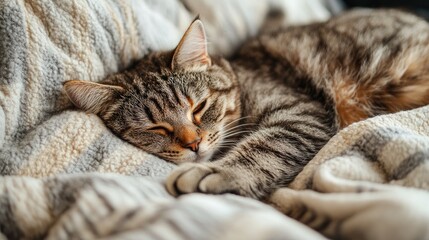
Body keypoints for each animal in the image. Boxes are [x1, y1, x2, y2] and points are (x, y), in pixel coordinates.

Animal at [62, 9, 428, 200]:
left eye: (199, 107)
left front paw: (215, 172)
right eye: (156, 128)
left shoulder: (300, 115)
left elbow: (264, 148)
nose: (193, 144)